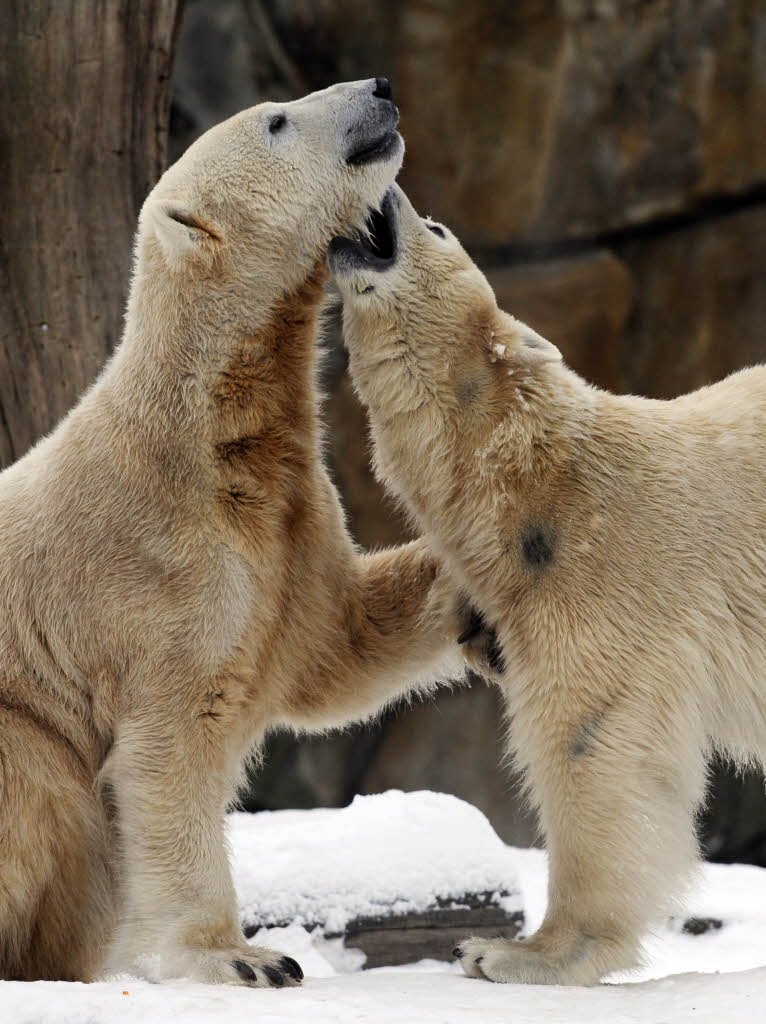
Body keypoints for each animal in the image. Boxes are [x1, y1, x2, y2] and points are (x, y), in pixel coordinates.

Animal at [0, 83, 473, 987]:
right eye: (278, 120)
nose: (379, 90)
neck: (211, 431)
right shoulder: (154, 567)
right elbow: (170, 747)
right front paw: (244, 959)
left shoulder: (291, 524)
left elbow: (341, 644)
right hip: (19, 721)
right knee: (40, 795)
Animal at [331, 182, 766, 983]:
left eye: (437, 226)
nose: (392, 191)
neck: (532, 480)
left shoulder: (604, 573)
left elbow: (588, 741)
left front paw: (516, 952)